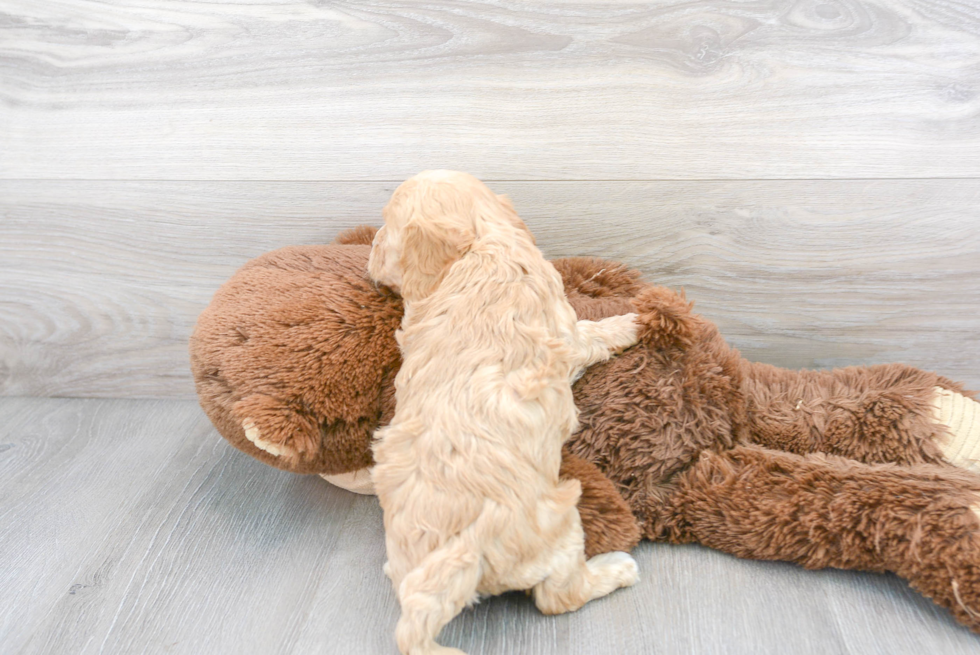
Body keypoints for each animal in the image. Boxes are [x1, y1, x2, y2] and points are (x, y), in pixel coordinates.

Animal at [368, 172, 636, 652]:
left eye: (386, 226)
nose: (369, 247)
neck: (482, 242)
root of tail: (461, 553)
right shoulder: (566, 333)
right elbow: (589, 334)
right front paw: (625, 324)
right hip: (562, 524)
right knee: (559, 597)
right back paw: (616, 569)